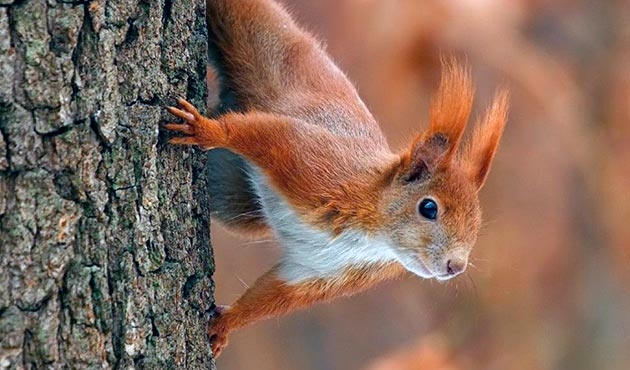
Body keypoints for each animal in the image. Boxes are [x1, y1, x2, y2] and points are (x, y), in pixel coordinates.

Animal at [164, 0, 508, 358]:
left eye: (477, 224)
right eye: (429, 208)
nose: (456, 266)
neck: (374, 236)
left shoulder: (323, 272)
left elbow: (276, 295)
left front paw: (224, 325)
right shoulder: (315, 165)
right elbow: (267, 135)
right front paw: (206, 130)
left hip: (233, 198)